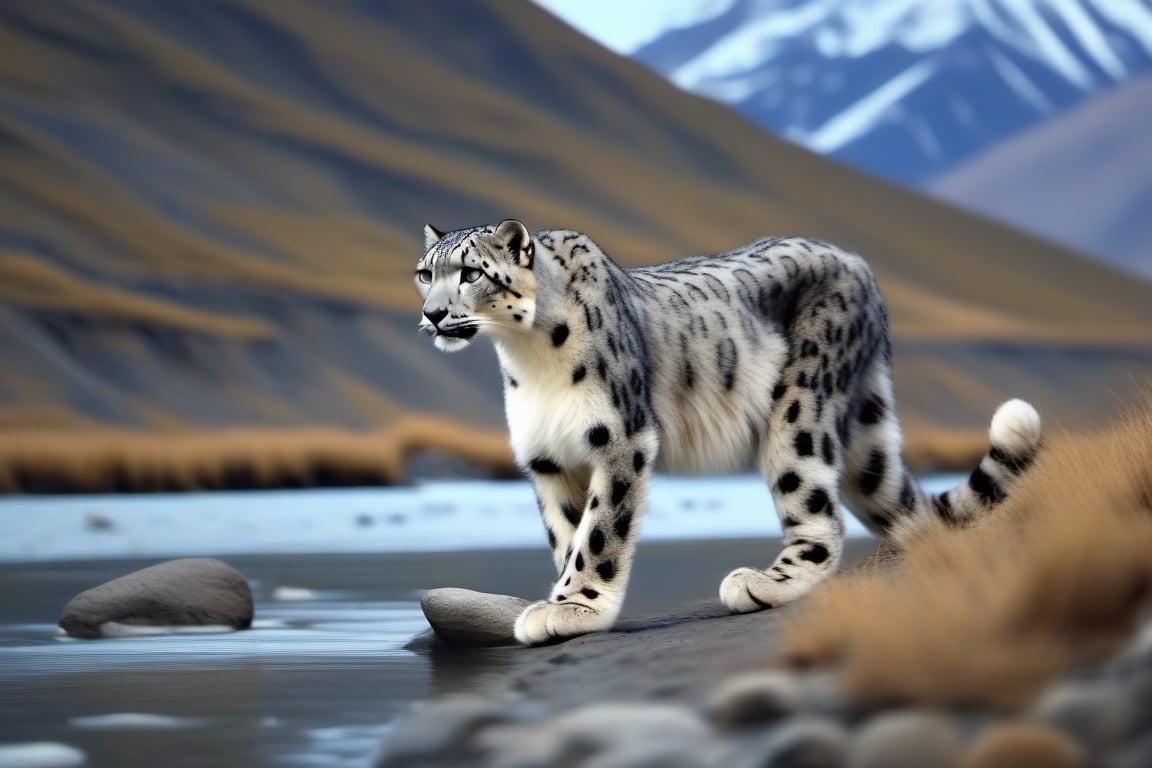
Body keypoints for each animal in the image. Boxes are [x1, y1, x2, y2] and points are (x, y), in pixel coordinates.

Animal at [414, 218, 1046, 644]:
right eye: (425, 274)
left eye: (470, 273)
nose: (433, 315)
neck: (525, 358)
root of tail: (859, 263)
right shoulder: (548, 459)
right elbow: (569, 532)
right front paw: (569, 601)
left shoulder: (620, 438)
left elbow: (600, 532)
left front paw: (576, 606)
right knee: (899, 505)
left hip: (801, 407)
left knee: (818, 510)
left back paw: (768, 581)